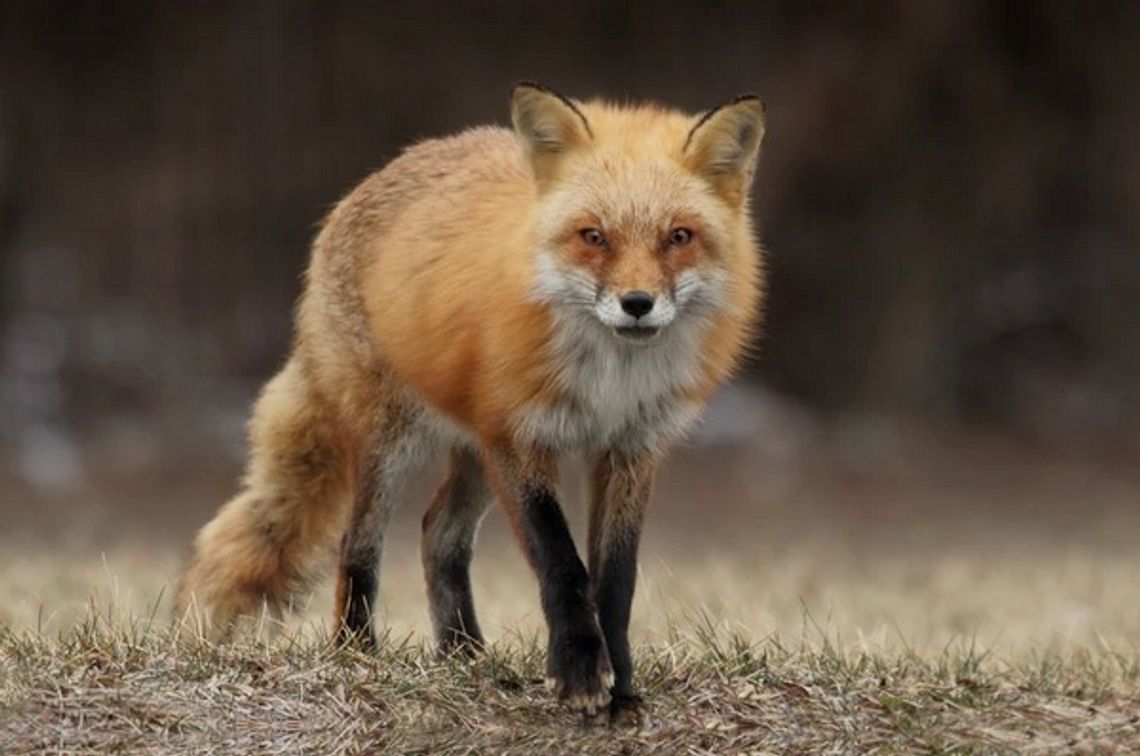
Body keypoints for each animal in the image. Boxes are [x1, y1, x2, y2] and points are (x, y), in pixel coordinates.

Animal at [175, 82, 766, 720]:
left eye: (678, 237)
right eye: (594, 237)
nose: (637, 303)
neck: (609, 380)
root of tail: (378, 176)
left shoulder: (631, 449)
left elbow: (615, 580)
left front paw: (622, 689)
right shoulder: (520, 438)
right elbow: (561, 564)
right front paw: (580, 673)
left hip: (476, 454)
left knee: (438, 534)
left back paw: (463, 653)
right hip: (396, 443)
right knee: (358, 545)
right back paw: (358, 651)